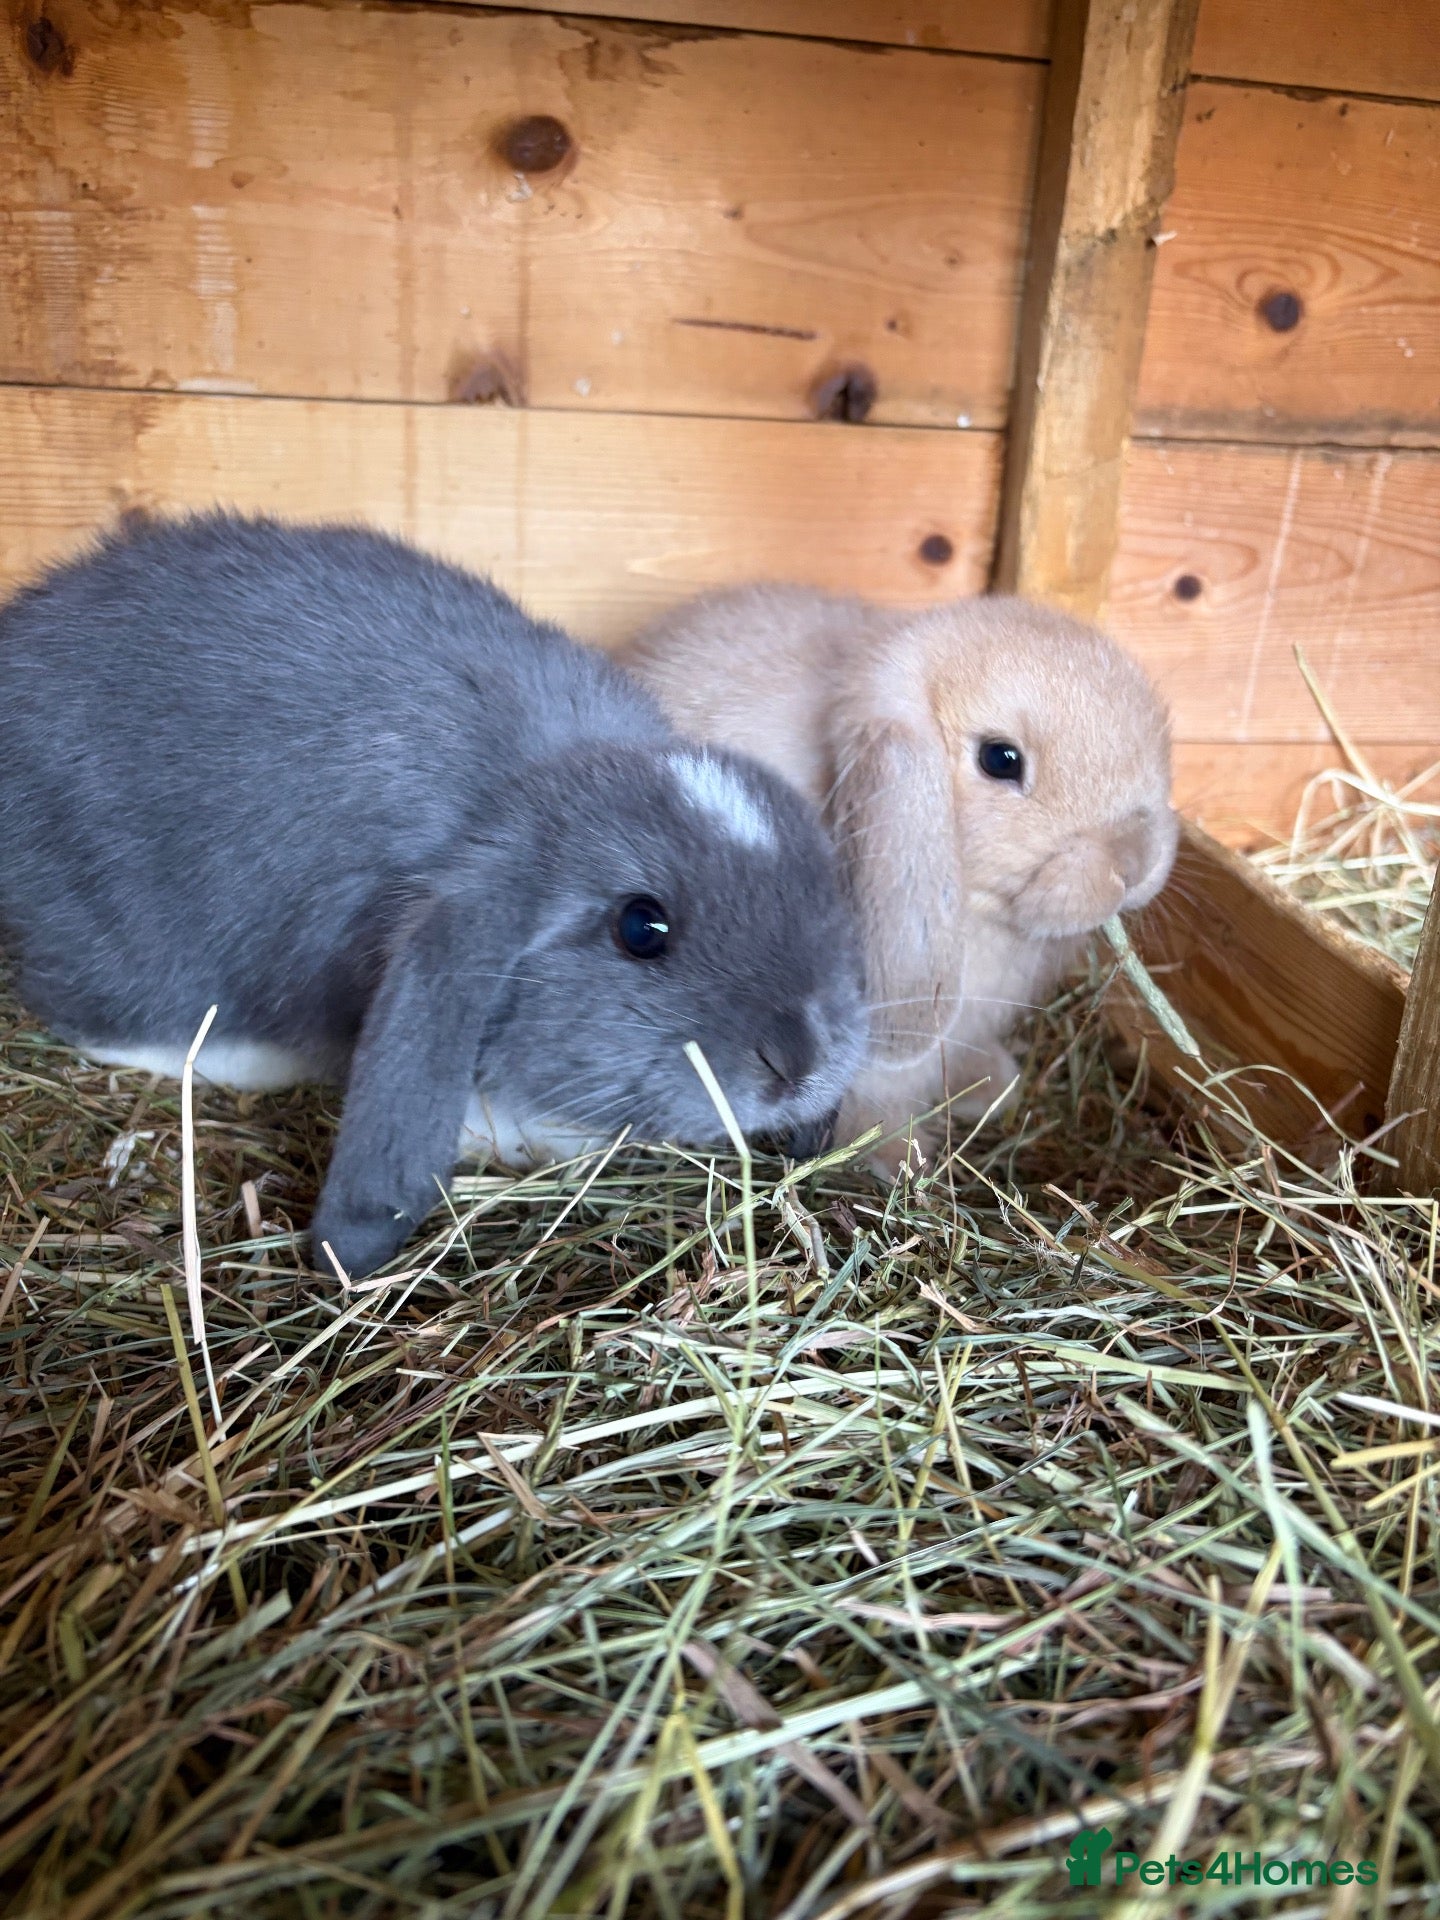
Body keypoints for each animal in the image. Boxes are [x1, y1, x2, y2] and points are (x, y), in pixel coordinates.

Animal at [0, 517, 868, 1276]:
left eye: (827, 890)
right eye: (641, 927)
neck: (543, 779)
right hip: (115, 924)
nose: (798, 1061)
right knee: (104, 1020)